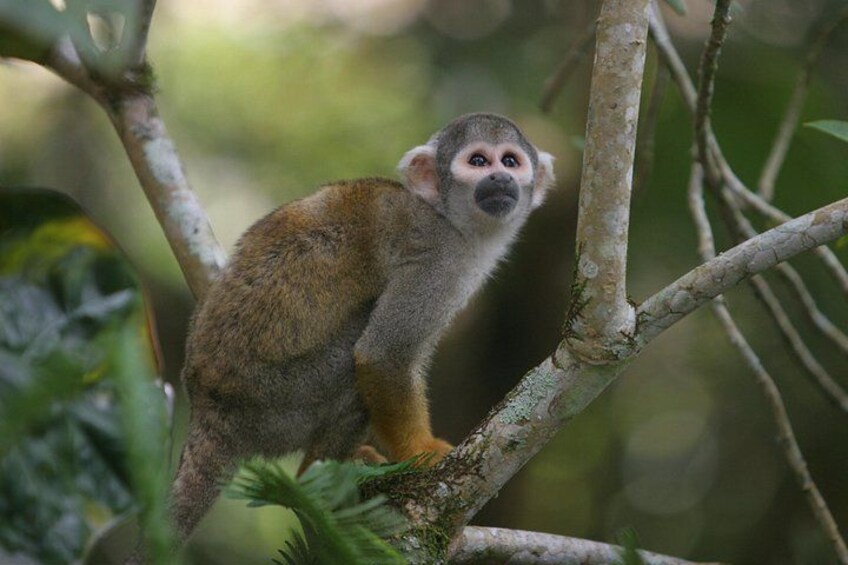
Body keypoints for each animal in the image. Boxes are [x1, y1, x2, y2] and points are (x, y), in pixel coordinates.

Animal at [161, 113, 556, 549]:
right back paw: (317, 473)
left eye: (510, 161)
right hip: (275, 401)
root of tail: (207, 409)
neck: (448, 218)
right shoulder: (438, 260)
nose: (500, 178)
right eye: (479, 161)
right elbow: (383, 356)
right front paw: (421, 453)